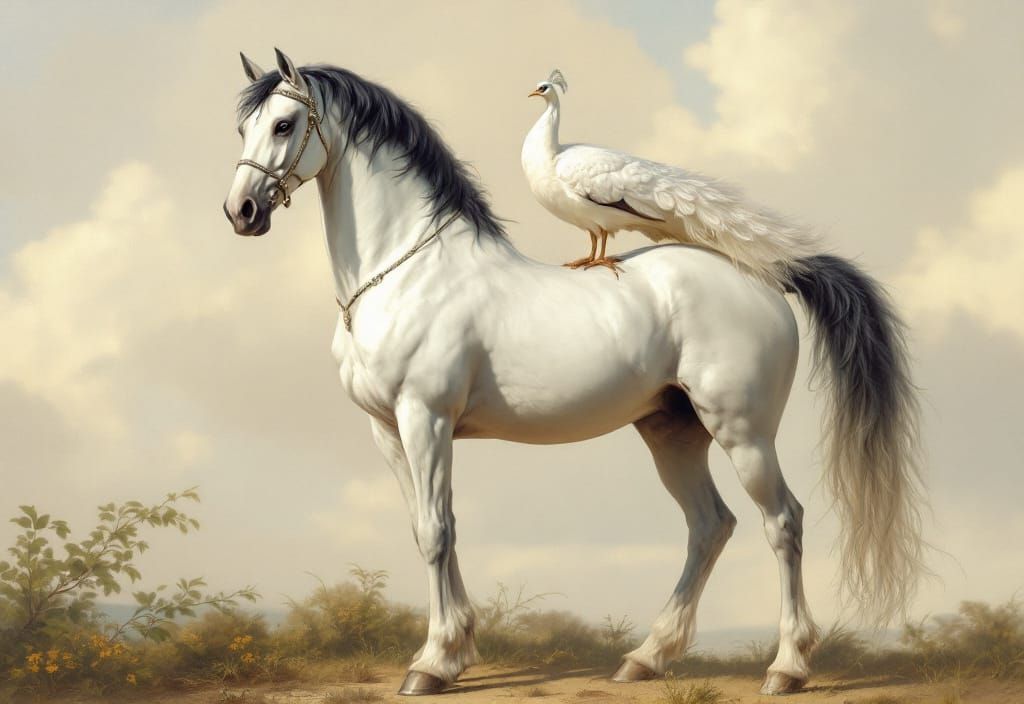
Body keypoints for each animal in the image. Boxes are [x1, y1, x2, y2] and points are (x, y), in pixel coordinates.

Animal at [223, 50, 924, 696]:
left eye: (285, 124)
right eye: (244, 127)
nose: (242, 212)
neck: (411, 270)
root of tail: (767, 279)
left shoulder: (426, 418)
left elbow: (436, 530)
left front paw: (432, 664)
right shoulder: (388, 430)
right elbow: (431, 526)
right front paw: (457, 651)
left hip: (742, 433)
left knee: (782, 522)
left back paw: (787, 668)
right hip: (672, 431)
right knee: (709, 525)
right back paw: (646, 658)